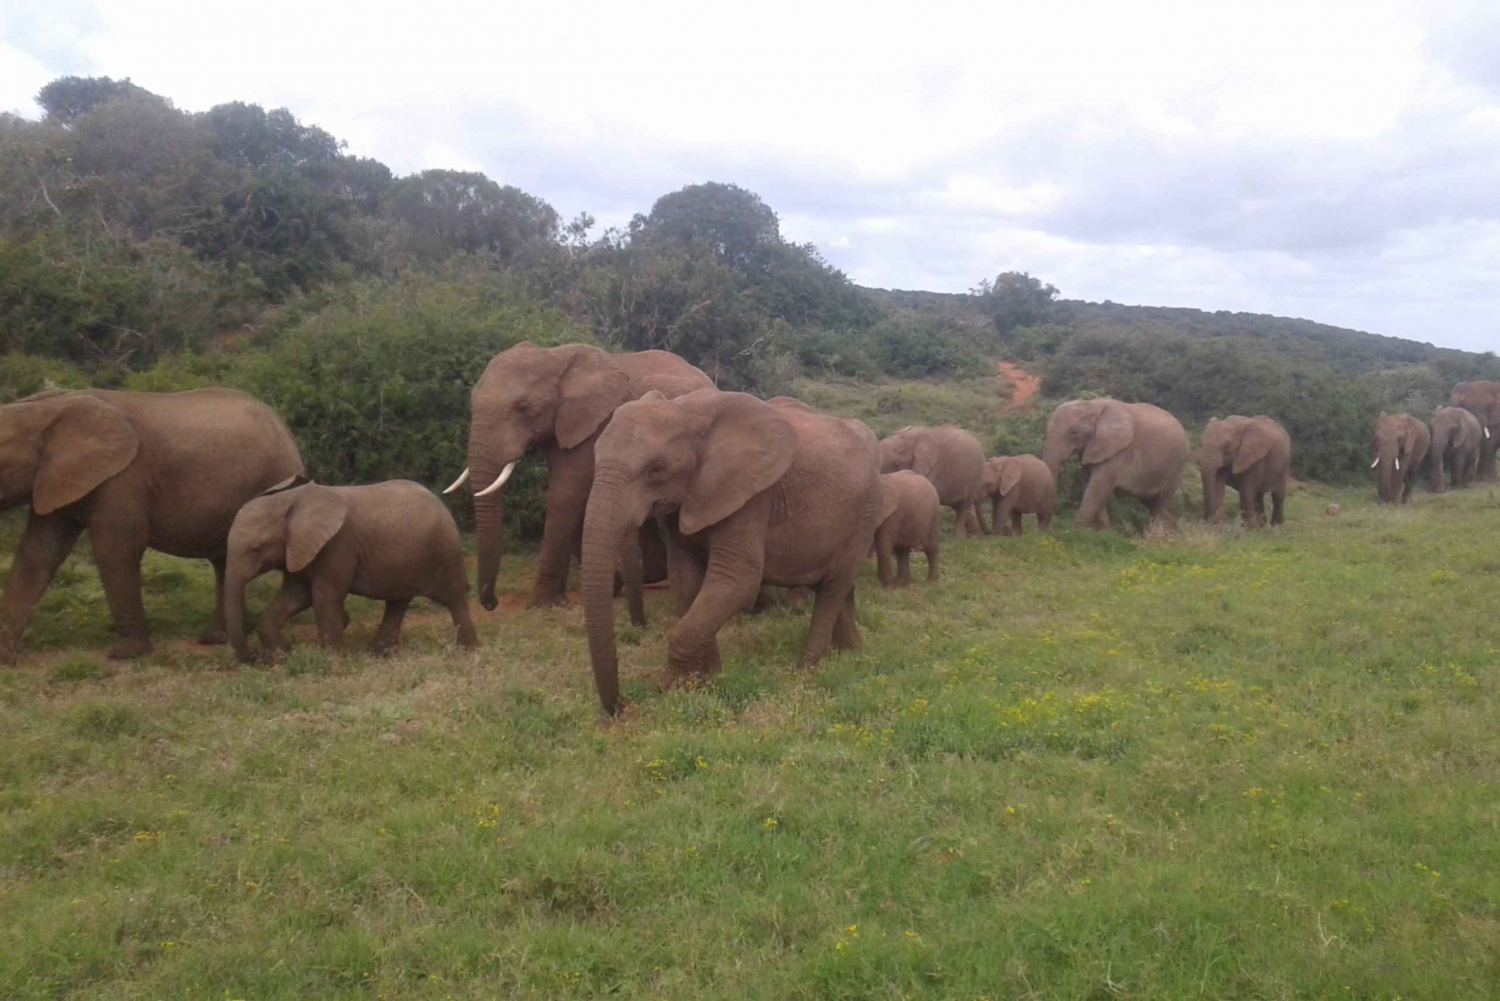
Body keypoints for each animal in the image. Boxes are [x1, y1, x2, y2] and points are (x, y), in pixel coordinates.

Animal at [0, 388, 303, 661]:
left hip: (277, 476)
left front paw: (126, 653)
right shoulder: (55, 479)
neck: (45, 407)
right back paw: (215, 638)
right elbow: (38, 553)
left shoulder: (123, 478)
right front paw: (5, 655)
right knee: (224, 560)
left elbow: (115, 551)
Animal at [225, 478, 477, 661]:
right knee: (398, 601)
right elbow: (295, 596)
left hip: (444, 549)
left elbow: (324, 598)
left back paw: (467, 651)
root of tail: (440, 502)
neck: (288, 500)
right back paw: (379, 654)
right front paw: (282, 655)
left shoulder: (337, 545)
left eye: (255, 549)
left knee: (453, 598)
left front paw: (334, 661)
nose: (254, 657)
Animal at [446, 341, 713, 623]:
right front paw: (607, 585)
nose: (491, 603)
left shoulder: (594, 424)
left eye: (523, 407)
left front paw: (543, 605)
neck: (554, 357)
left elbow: (566, 494)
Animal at [580, 389, 887, 715]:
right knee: (842, 588)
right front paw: (707, 678)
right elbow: (686, 580)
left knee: (833, 588)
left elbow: (737, 581)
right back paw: (850, 651)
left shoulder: (752, 498)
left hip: (864, 515)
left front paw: (670, 689)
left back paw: (806, 669)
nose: (619, 708)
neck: (685, 410)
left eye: (656, 470)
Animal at [1044, 398, 1189, 530]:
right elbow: (1095, 486)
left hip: (1176, 465)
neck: (1092, 405)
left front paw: (1076, 531)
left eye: (1074, 433)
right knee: (1152, 504)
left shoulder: (1118, 451)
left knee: (1161, 502)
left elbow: (1098, 486)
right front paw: (1104, 531)